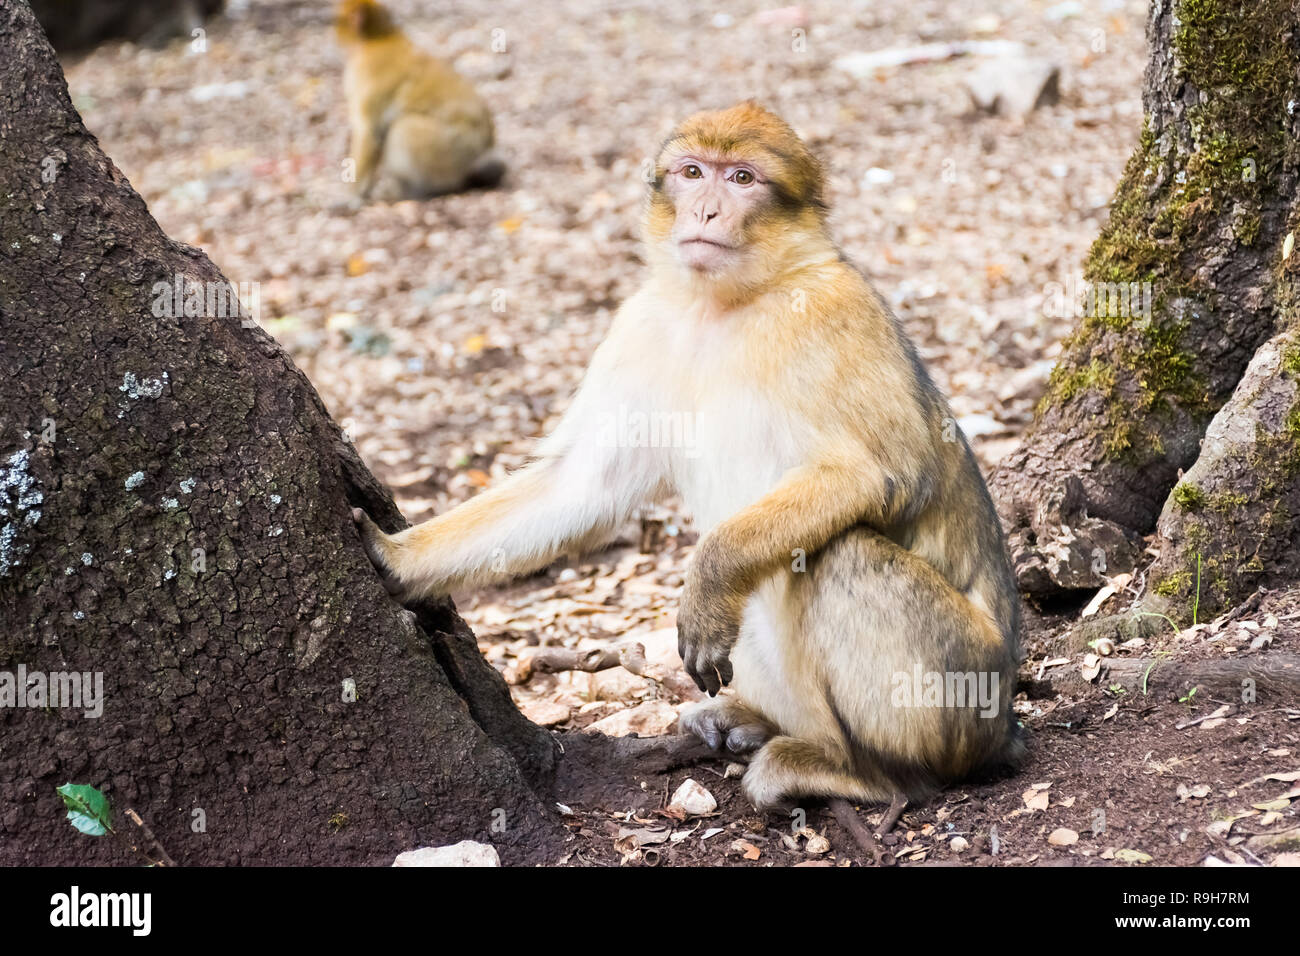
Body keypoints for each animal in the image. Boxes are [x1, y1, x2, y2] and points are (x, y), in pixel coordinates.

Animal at [356, 102, 1024, 806]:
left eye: (742, 178)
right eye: (693, 172)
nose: (705, 210)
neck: (723, 305)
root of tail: (1001, 721)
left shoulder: (833, 313)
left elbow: (887, 475)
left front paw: (710, 575)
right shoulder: (643, 323)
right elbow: (582, 486)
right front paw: (395, 558)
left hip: (957, 691)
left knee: (837, 554)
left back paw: (867, 773)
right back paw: (753, 722)